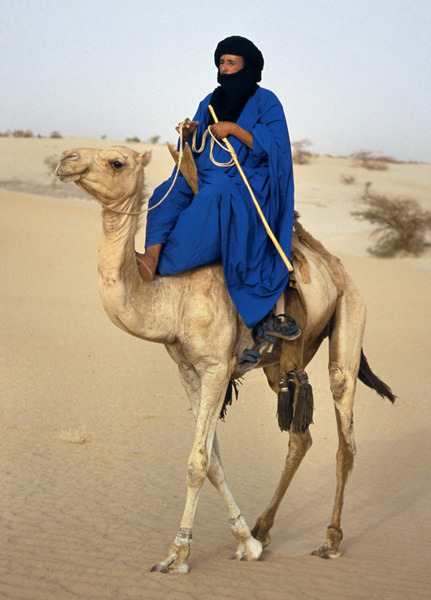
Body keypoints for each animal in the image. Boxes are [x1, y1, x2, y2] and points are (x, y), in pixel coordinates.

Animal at [56, 144, 394, 572]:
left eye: (117, 162)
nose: (66, 159)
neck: (170, 295)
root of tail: (335, 266)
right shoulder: (187, 369)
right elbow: (213, 460)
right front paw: (246, 542)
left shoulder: (216, 366)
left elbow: (197, 462)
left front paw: (177, 554)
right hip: (280, 364)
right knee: (299, 436)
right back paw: (265, 529)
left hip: (351, 315)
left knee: (344, 430)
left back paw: (331, 541)